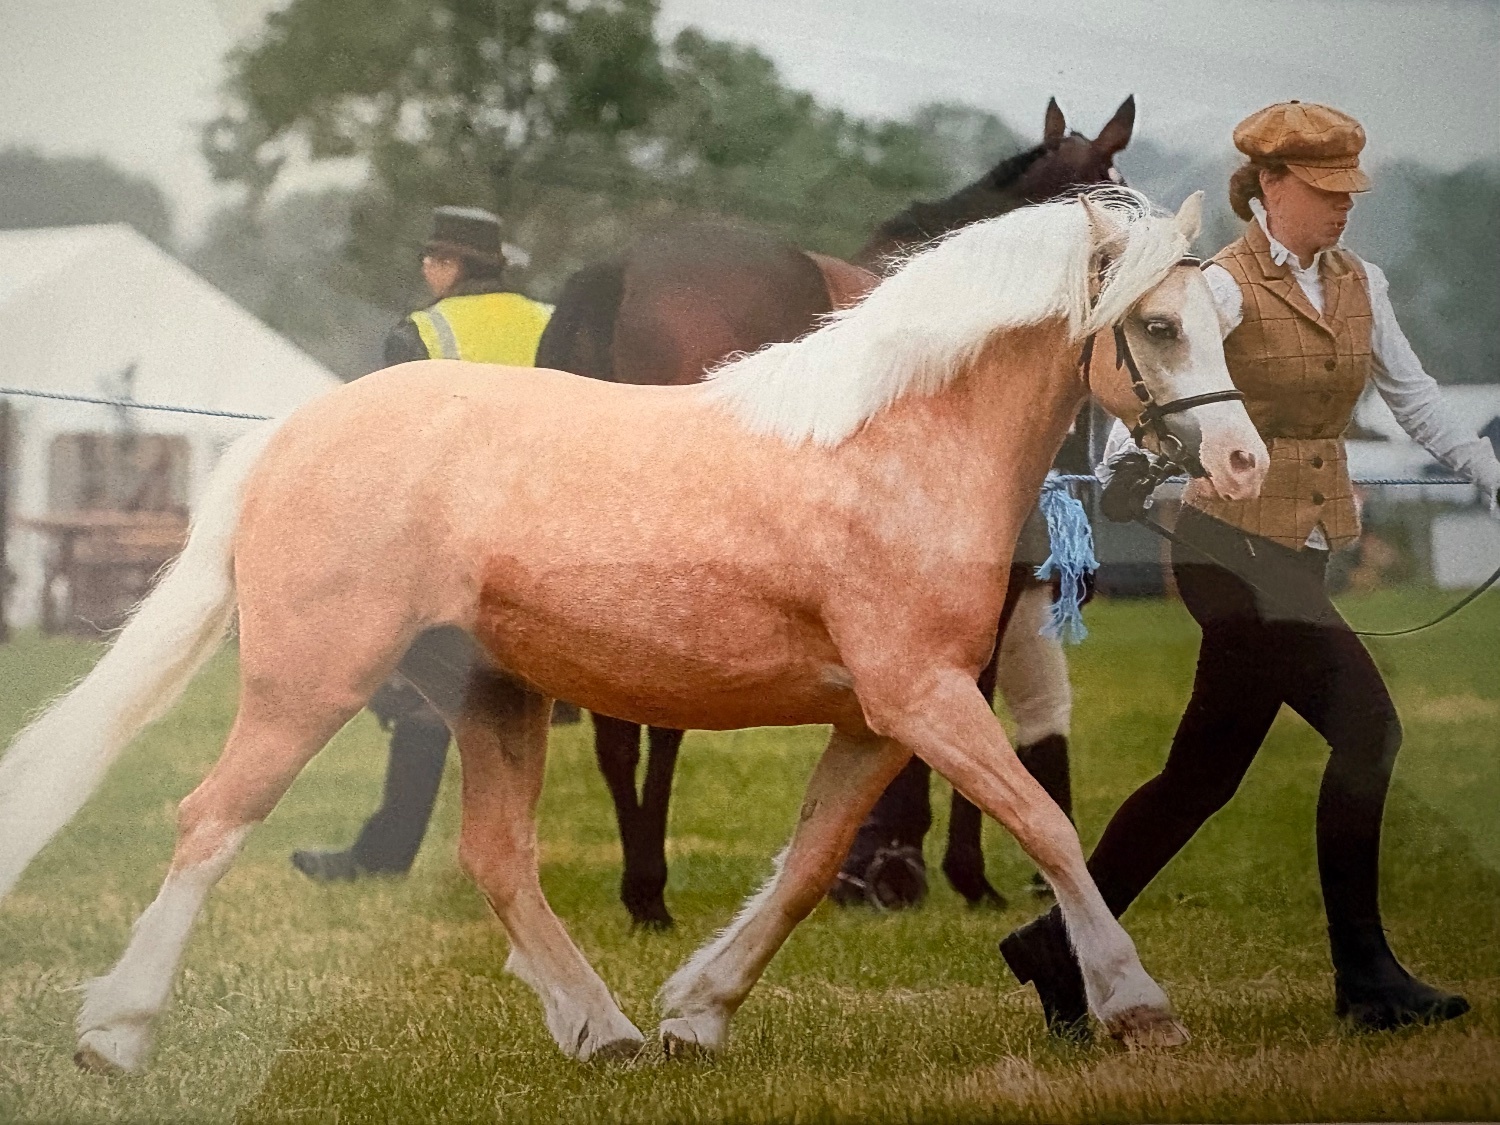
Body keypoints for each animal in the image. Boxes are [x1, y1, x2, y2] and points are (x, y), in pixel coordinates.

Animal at [0, 190, 1267, 1071]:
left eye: (1225, 318)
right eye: (1157, 325)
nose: (1244, 461)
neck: (895, 445)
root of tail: (294, 432)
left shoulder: (881, 718)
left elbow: (808, 868)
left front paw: (696, 1016)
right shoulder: (924, 698)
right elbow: (1048, 827)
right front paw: (1136, 1006)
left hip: (492, 693)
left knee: (497, 859)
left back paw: (602, 1029)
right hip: (311, 681)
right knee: (211, 821)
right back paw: (114, 1036)